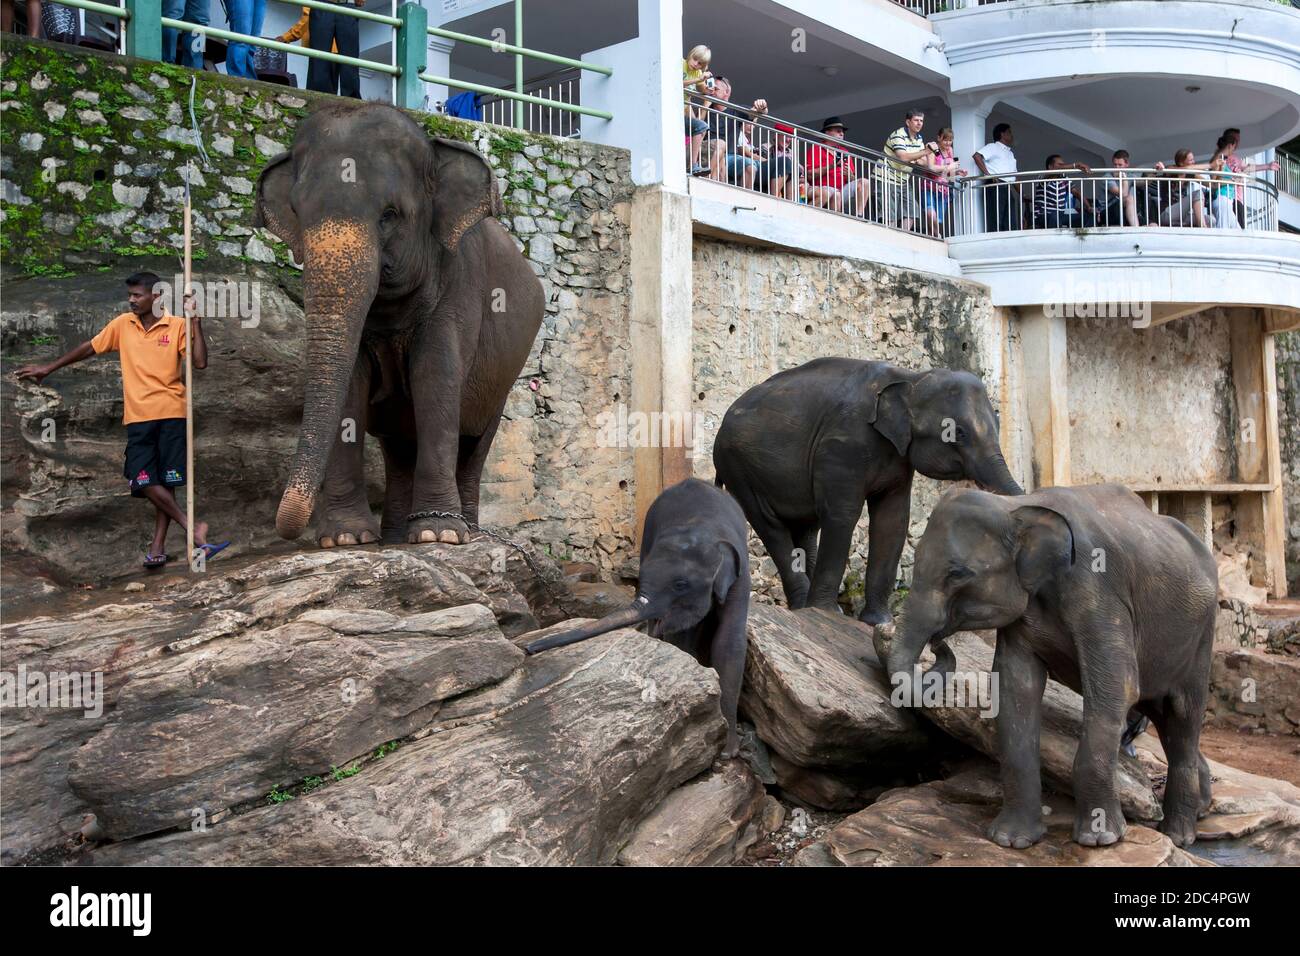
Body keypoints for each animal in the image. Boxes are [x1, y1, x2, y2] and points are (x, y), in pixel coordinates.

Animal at [253, 102, 543, 546]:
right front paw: (346, 539)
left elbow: (435, 378)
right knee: (399, 448)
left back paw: (468, 532)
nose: (285, 530)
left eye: (389, 215)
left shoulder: (458, 284)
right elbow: (351, 388)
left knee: (474, 444)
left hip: (504, 378)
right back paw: (392, 538)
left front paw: (438, 535)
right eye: (298, 214)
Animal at [525, 481, 754, 759]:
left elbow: (729, 641)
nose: (529, 648)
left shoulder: (741, 574)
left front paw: (727, 751)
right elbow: (685, 633)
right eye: (641, 577)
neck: (701, 525)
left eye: (680, 584)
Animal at [717, 356, 1019, 621]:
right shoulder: (843, 444)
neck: (911, 379)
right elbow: (843, 515)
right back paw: (810, 607)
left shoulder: (899, 458)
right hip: (739, 469)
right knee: (771, 526)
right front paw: (825, 613)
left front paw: (878, 622)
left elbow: (892, 521)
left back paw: (810, 607)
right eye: (958, 433)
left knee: (806, 530)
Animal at [873, 486, 1216, 853]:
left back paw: (1179, 835)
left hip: (1202, 638)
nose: (937, 641)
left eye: (958, 574)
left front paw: (1100, 840)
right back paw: (1202, 809)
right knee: (1163, 716)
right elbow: (1016, 689)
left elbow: (1116, 688)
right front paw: (1011, 841)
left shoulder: (1098, 590)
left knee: (1182, 715)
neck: (1017, 506)